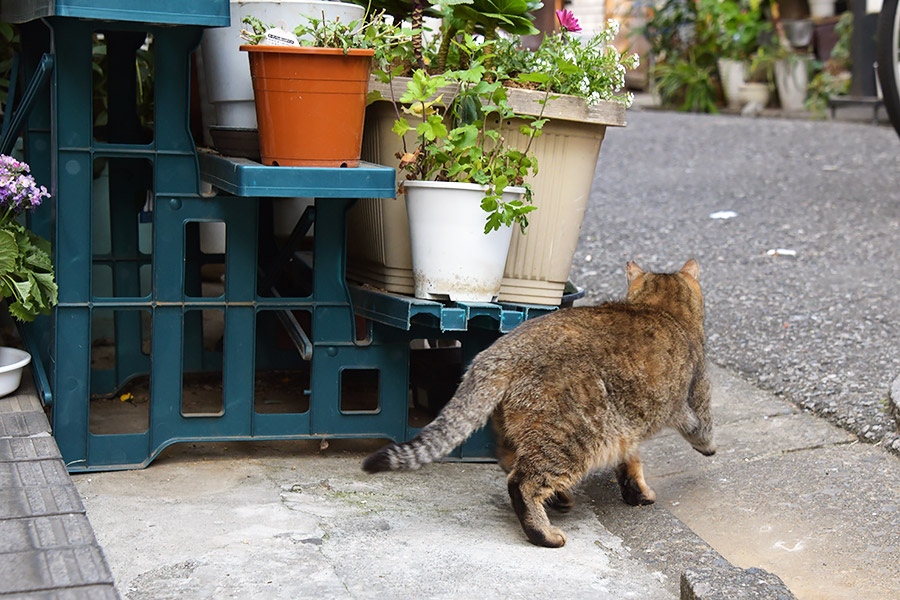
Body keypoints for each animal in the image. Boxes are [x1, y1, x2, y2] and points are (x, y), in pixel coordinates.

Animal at [362, 258, 712, 548]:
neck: (662, 310)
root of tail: (499, 351)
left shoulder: (627, 430)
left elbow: (631, 463)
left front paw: (636, 492)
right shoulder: (695, 398)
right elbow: (699, 428)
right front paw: (706, 450)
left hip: (521, 429)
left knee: (508, 461)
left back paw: (557, 500)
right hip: (574, 439)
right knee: (521, 482)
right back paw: (543, 533)